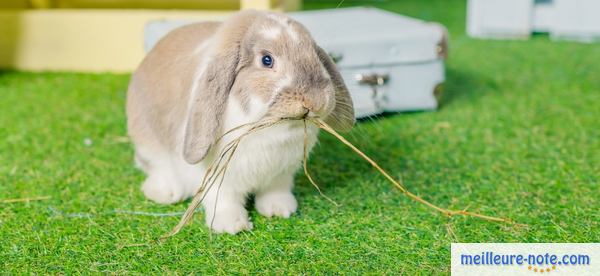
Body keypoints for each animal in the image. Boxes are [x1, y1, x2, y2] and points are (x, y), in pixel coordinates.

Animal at [125, 10, 352, 235]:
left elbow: (276, 190)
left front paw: (280, 210)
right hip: (148, 143)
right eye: (267, 60)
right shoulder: (216, 179)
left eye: (315, 55)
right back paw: (166, 193)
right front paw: (232, 225)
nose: (316, 100)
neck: (271, 130)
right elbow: (222, 200)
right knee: (155, 166)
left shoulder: (281, 175)